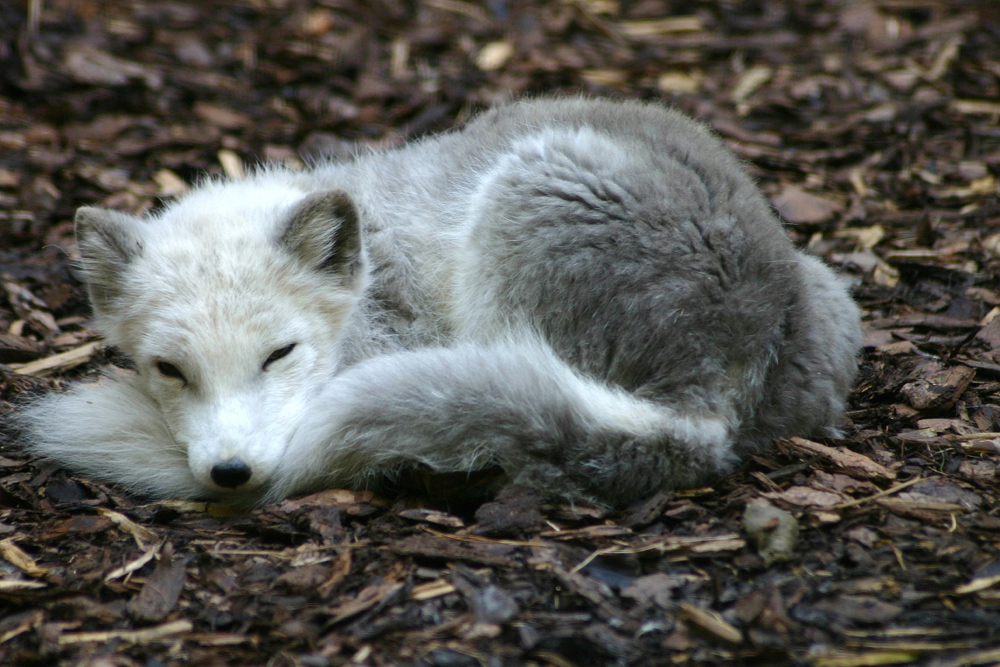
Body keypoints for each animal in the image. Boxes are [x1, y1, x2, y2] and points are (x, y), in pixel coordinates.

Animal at [13, 98, 860, 506]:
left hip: (524, 207)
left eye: (279, 355)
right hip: (834, 296)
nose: (230, 472)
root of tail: (721, 396)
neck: (367, 287)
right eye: (170, 369)